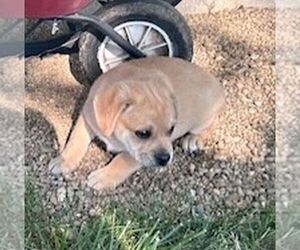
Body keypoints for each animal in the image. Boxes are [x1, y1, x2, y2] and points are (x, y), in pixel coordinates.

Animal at [49, 56, 224, 189]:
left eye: (171, 130)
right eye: (143, 133)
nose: (165, 158)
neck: (115, 134)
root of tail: (218, 84)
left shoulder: (136, 155)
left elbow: (123, 159)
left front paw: (104, 176)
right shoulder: (87, 117)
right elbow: (76, 141)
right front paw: (63, 160)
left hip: (204, 118)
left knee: (213, 122)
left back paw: (194, 139)